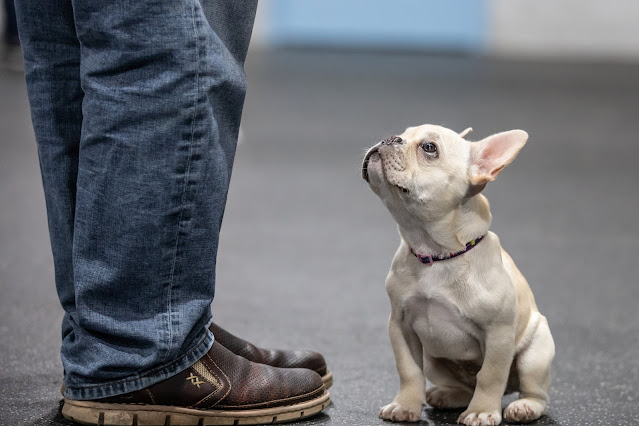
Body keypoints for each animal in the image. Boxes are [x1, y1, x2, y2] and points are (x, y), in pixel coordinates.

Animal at [364, 125, 556, 424]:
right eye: (403, 133)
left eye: (429, 148)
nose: (390, 138)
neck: (435, 253)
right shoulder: (400, 326)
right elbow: (408, 369)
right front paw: (404, 406)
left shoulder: (498, 334)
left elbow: (490, 375)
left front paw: (482, 412)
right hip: (433, 360)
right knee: (464, 387)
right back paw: (447, 395)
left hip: (535, 353)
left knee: (533, 391)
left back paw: (524, 407)